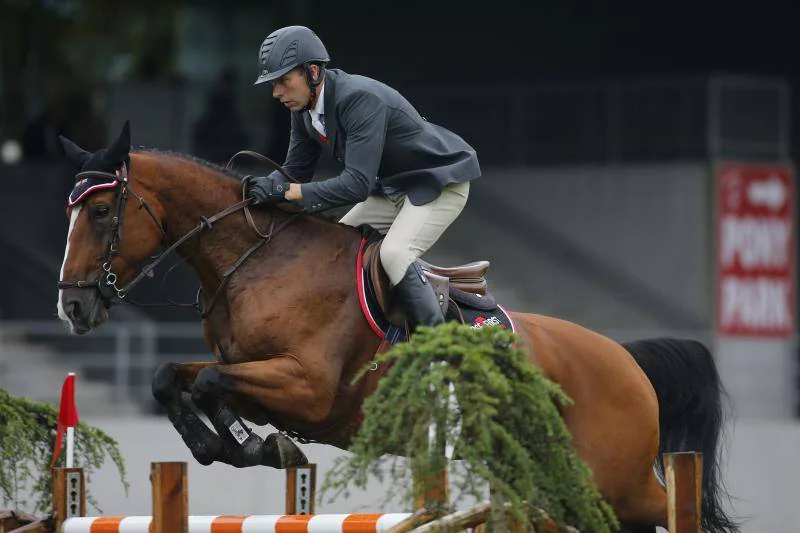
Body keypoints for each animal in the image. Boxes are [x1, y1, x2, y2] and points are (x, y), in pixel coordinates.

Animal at [53, 122, 736, 528]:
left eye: (103, 211)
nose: (73, 308)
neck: (257, 262)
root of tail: (627, 359)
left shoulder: (307, 387)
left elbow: (211, 383)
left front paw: (255, 445)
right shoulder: (250, 369)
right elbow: (176, 377)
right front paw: (236, 446)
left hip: (613, 480)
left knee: (676, 506)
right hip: (551, 476)